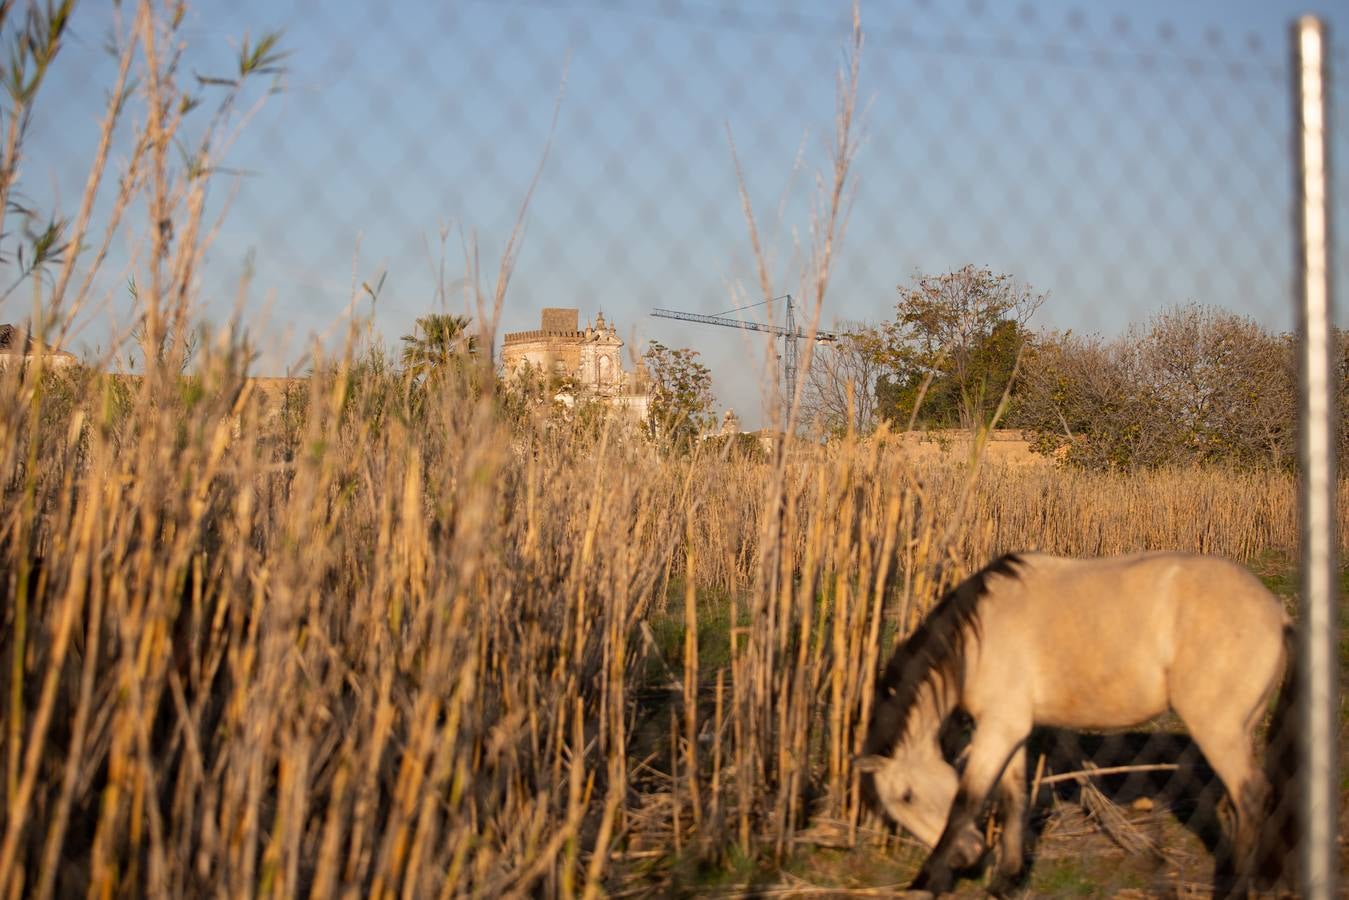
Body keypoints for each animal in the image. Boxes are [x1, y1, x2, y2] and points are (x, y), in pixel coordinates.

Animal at [857, 553, 1289, 895]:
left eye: (906, 796)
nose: (968, 857)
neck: (978, 635)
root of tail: (1277, 614)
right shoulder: (1013, 731)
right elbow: (1013, 798)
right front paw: (1006, 881)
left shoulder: (998, 729)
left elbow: (967, 801)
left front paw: (925, 881)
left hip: (1218, 732)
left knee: (1251, 798)